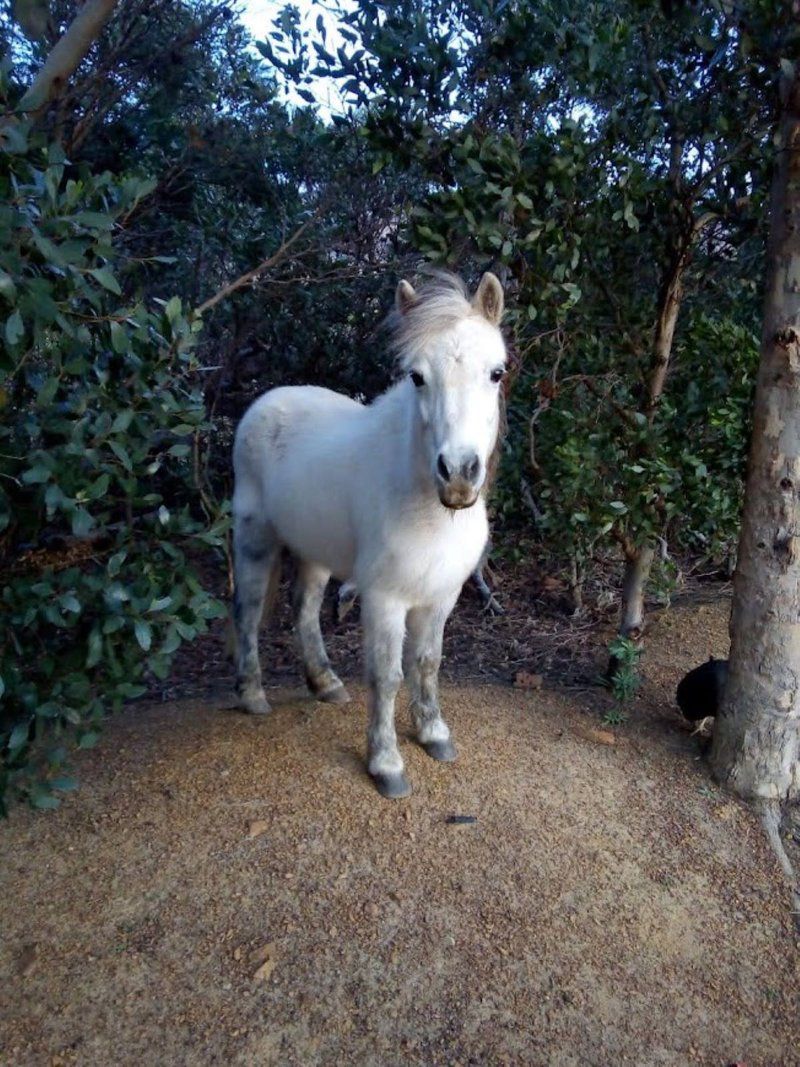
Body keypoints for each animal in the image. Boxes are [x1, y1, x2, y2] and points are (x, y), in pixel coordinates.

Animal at [231, 271, 507, 798]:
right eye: (417, 376)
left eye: (497, 373)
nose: (459, 475)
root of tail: (265, 403)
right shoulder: (385, 600)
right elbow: (387, 677)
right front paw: (386, 764)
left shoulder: (440, 597)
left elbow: (427, 663)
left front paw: (434, 735)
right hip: (255, 542)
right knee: (248, 611)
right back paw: (252, 695)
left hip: (314, 554)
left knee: (304, 610)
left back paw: (325, 683)